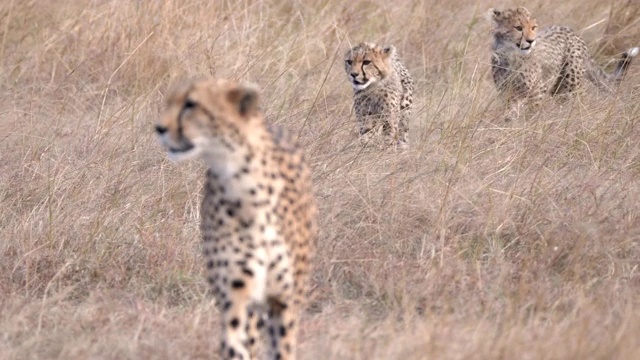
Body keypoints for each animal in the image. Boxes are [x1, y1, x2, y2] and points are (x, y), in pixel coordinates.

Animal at [153, 78, 318, 360]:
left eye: (191, 104)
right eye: (170, 101)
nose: (160, 128)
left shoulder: (283, 302)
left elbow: (282, 348)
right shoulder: (236, 293)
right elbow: (234, 343)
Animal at [488, 6, 636, 121]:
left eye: (533, 27)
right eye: (518, 28)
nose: (531, 41)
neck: (510, 55)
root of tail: (572, 31)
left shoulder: (537, 91)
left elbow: (532, 112)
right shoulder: (507, 93)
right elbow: (510, 112)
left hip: (571, 85)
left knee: (580, 100)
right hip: (558, 88)